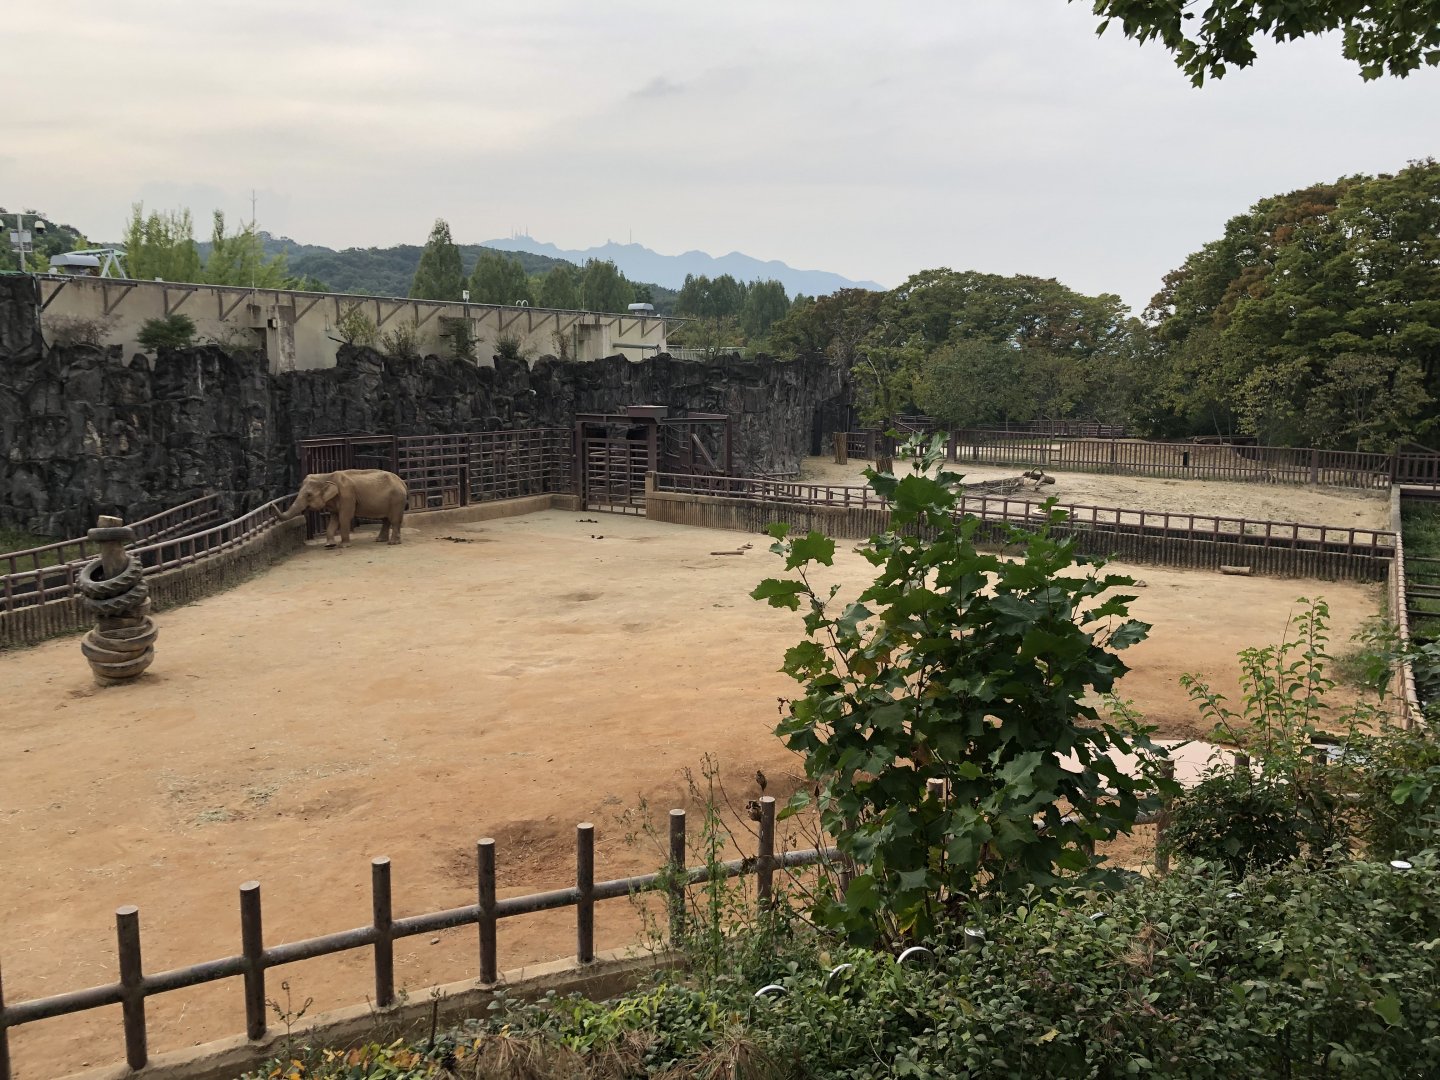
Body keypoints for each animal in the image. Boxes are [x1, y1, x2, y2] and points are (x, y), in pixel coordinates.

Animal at [279, 469, 408, 548]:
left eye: (309, 495)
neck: (326, 476)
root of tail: (402, 482)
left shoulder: (347, 495)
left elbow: (344, 517)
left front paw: (344, 546)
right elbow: (334, 519)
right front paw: (330, 545)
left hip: (396, 499)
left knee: (394, 520)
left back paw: (392, 543)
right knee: (386, 519)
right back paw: (381, 540)